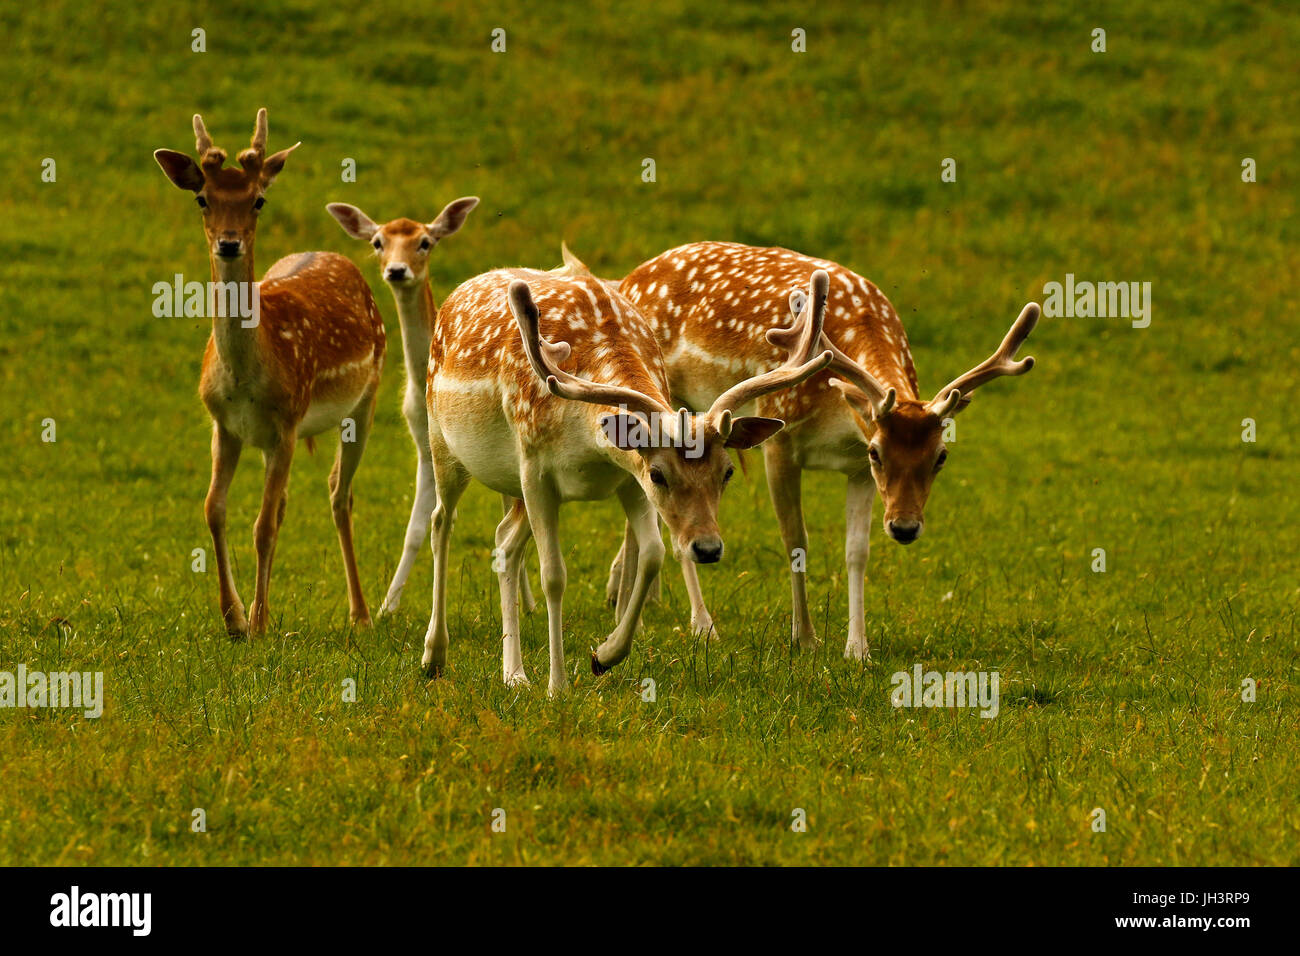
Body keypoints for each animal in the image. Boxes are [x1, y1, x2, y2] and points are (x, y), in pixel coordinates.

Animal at [153, 110, 384, 634]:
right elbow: (214, 510)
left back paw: (360, 614)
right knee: (285, 504)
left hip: (365, 399)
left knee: (340, 495)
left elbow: (261, 526)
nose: (229, 243)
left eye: (258, 199)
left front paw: (256, 625)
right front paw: (234, 618)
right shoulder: (225, 425)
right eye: (202, 198)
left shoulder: (285, 422)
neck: (244, 380)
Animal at [325, 202, 538, 621]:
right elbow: (416, 529)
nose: (397, 270)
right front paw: (386, 607)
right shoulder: (425, 446)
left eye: (424, 242)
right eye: (378, 242)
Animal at [426, 256, 832, 697]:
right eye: (659, 474)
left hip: (514, 488)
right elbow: (554, 575)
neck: (588, 441)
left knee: (504, 541)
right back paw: (435, 656)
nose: (708, 548)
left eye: (726, 472)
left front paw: (604, 655)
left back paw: (514, 675)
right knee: (442, 522)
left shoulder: (625, 480)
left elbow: (653, 554)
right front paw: (557, 685)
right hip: (443, 442)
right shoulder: (536, 468)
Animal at [613, 240, 1040, 658]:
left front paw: (858, 648)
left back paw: (628, 596)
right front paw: (804, 638)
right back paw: (700, 626)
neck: (838, 416)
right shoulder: (780, 437)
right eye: (878, 452)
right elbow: (796, 539)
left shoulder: (856, 468)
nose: (904, 527)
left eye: (941, 456)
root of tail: (629, 279)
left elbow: (857, 550)